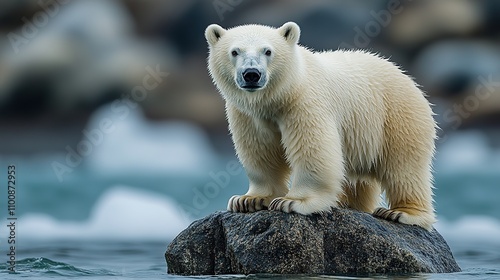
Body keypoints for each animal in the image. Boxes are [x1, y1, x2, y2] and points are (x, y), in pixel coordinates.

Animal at [205, 21, 436, 230]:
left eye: (268, 51)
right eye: (235, 51)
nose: (252, 74)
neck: (281, 94)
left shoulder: (304, 103)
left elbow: (312, 149)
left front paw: (292, 201)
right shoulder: (247, 115)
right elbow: (260, 152)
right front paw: (248, 200)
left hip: (396, 116)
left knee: (403, 166)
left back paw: (400, 213)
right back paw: (348, 202)